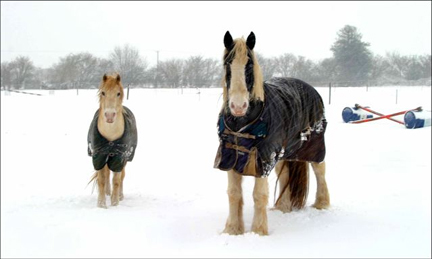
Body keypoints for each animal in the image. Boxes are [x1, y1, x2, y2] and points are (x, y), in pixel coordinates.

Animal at [86, 73, 137, 209]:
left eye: (118, 93)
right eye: (103, 92)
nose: (109, 116)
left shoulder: (119, 157)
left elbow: (117, 180)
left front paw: (115, 203)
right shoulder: (98, 156)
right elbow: (102, 179)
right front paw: (101, 204)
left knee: (121, 176)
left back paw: (119, 195)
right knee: (107, 174)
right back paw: (107, 193)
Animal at [213, 31, 330, 237]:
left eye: (249, 66)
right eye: (228, 65)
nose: (238, 106)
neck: (242, 124)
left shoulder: (262, 159)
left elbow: (259, 195)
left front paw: (258, 231)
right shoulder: (230, 157)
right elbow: (234, 194)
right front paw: (233, 230)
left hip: (314, 146)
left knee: (320, 172)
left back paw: (321, 204)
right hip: (284, 152)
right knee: (285, 176)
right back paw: (283, 207)